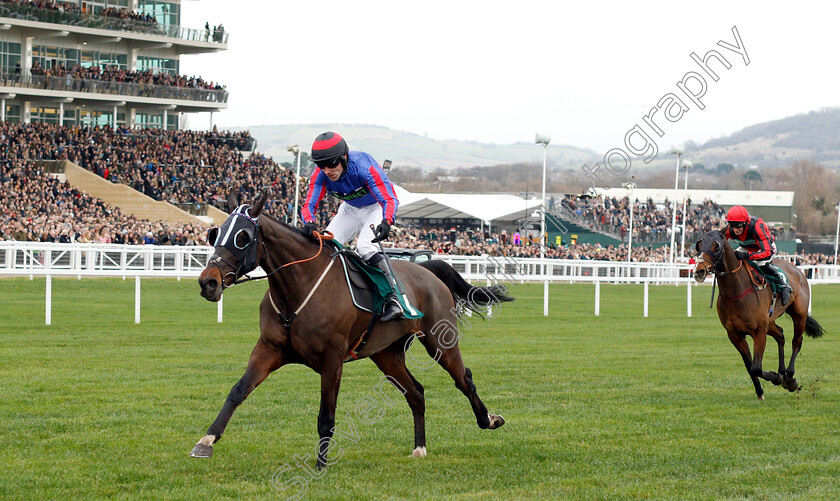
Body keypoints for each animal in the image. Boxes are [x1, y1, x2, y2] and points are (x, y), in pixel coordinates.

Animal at [190, 191, 512, 464]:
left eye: (243, 237)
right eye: (215, 233)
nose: (208, 282)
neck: (298, 289)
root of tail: (427, 269)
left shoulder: (332, 359)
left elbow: (326, 417)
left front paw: (320, 465)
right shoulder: (269, 349)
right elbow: (238, 391)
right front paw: (206, 441)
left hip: (439, 341)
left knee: (464, 379)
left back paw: (489, 419)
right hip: (386, 353)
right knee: (416, 392)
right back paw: (419, 447)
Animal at [692, 230, 824, 398]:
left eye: (716, 246)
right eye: (699, 245)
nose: (699, 271)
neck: (736, 291)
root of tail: (796, 269)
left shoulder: (759, 331)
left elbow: (756, 366)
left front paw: (775, 377)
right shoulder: (735, 334)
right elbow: (749, 365)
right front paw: (761, 389)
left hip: (799, 315)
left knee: (796, 342)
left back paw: (790, 377)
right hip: (770, 321)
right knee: (780, 335)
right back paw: (783, 373)